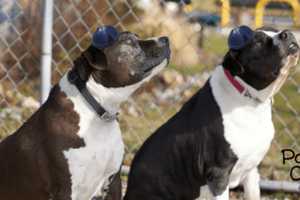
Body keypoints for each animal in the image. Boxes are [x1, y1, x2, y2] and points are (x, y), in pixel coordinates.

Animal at [123, 26, 298, 200]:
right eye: (258, 41)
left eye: (275, 30)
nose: (287, 33)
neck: (248, 98)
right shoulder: (219, 175)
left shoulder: (252, 171)